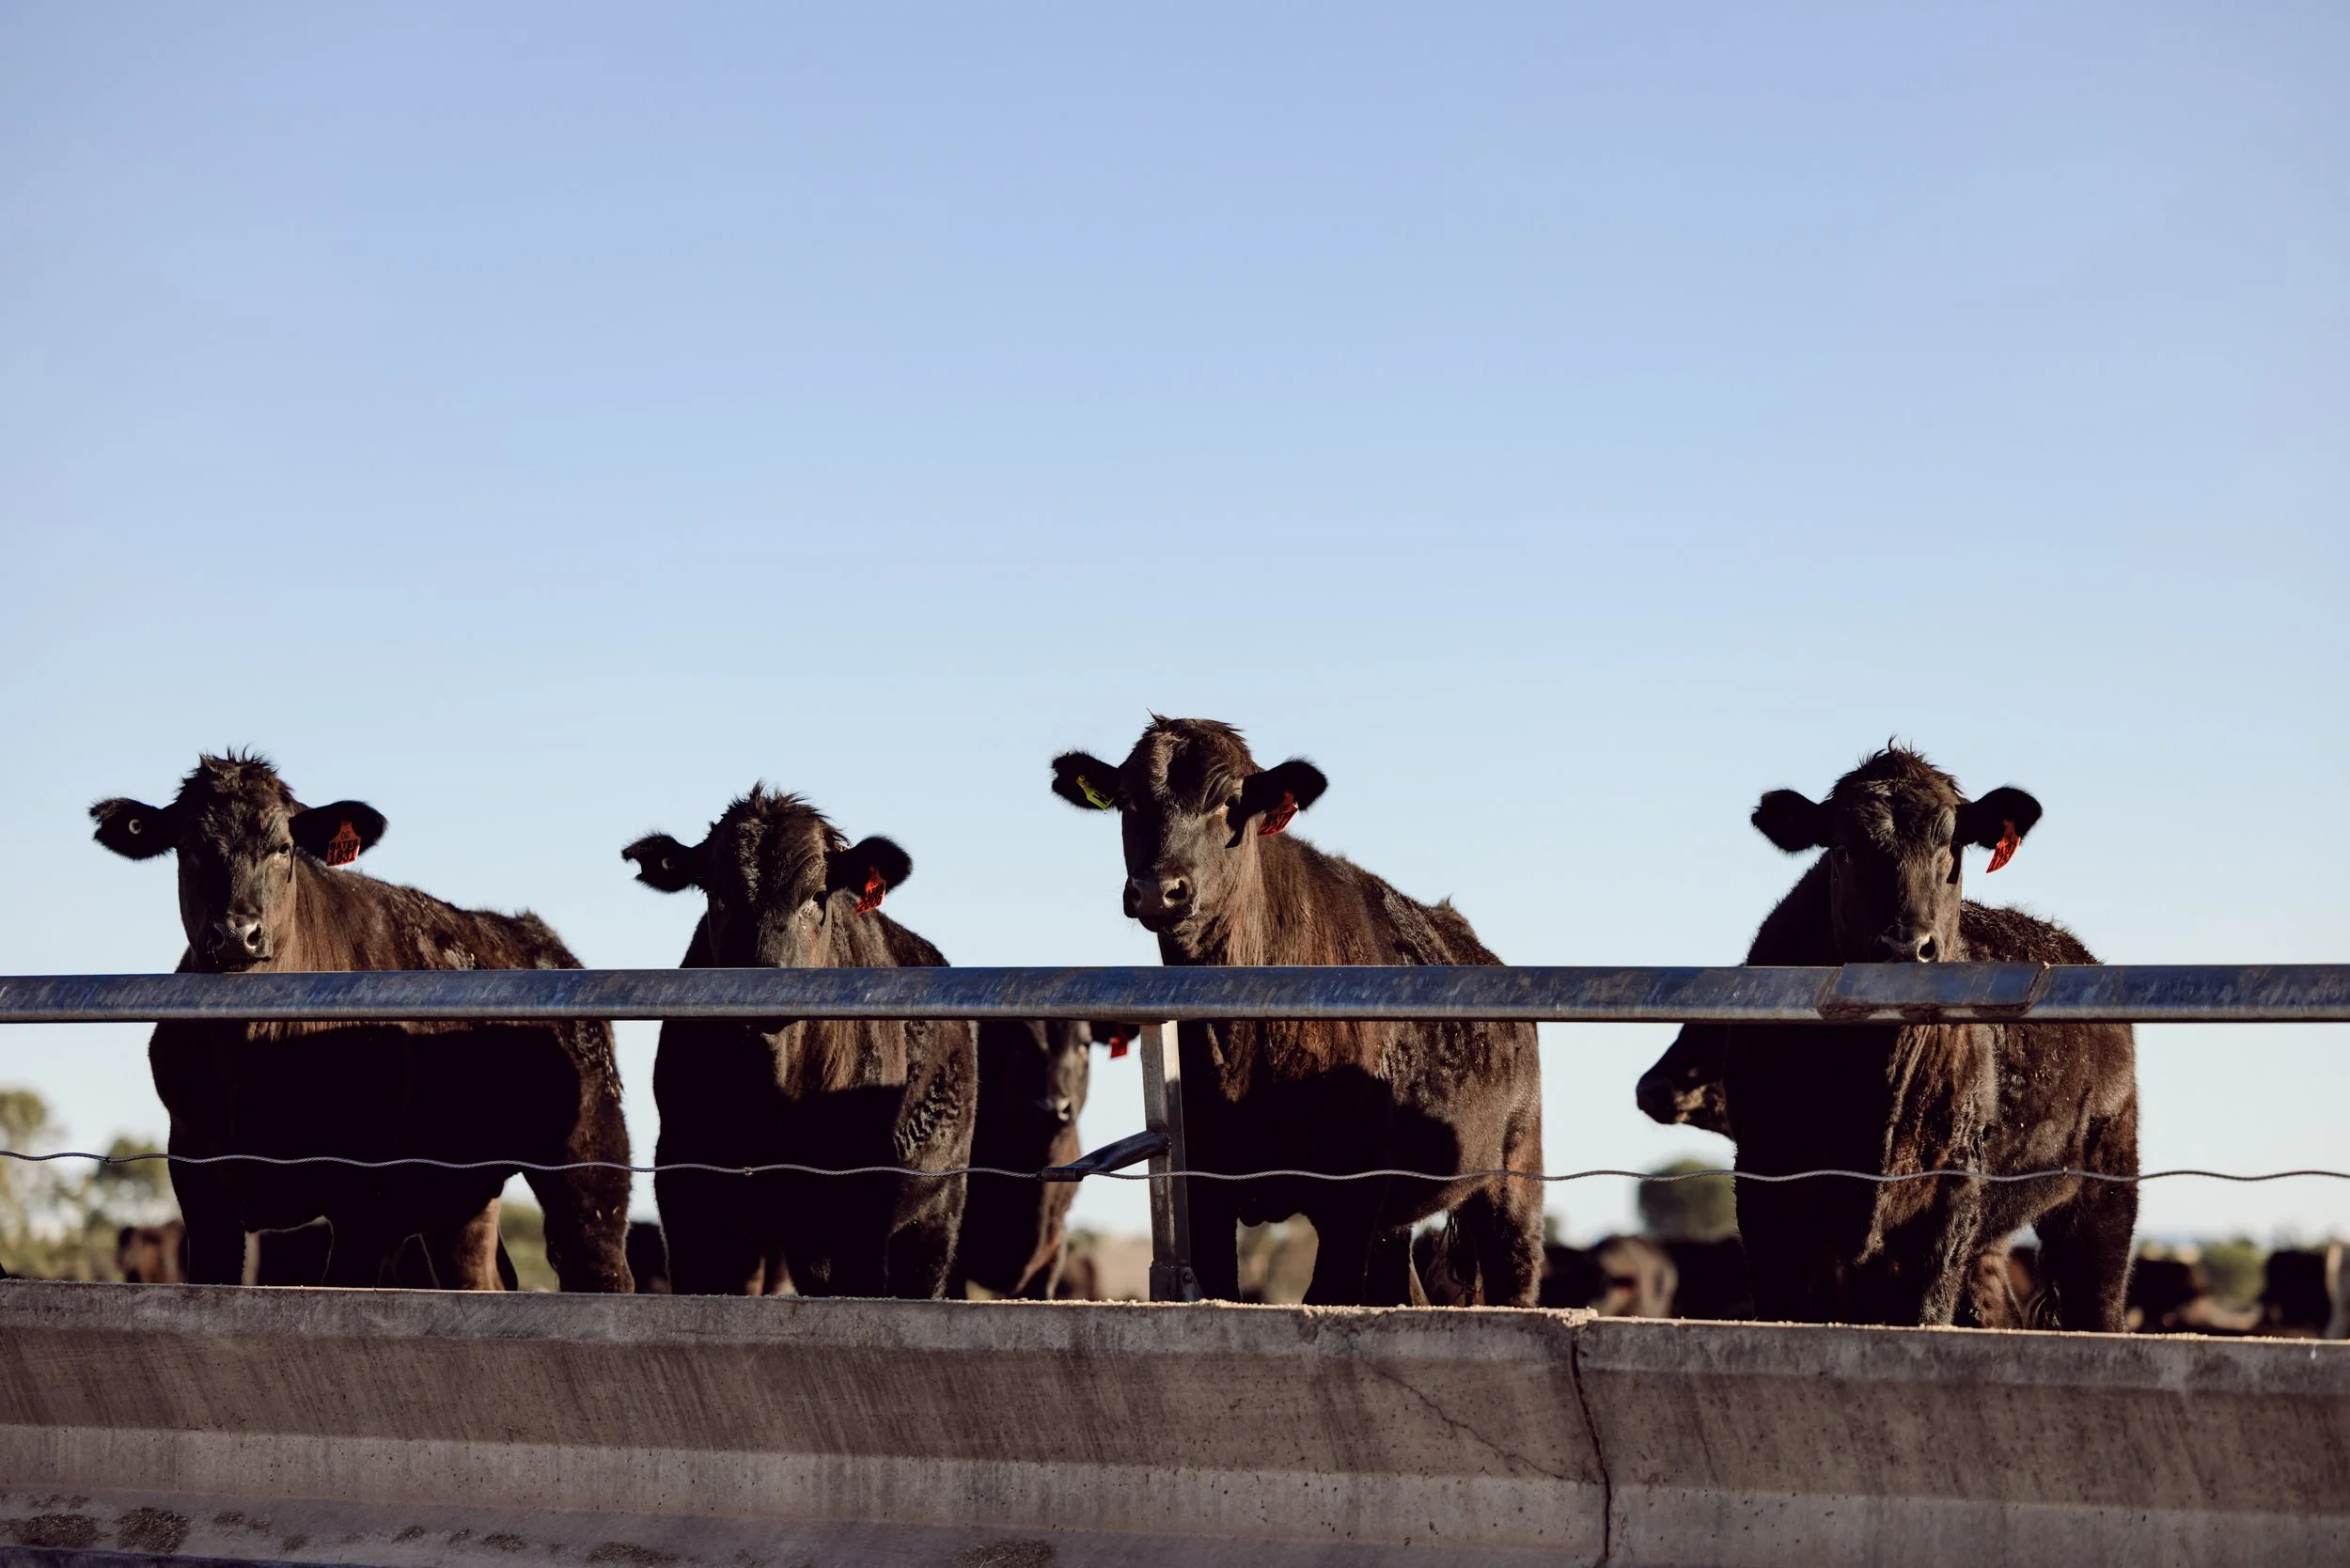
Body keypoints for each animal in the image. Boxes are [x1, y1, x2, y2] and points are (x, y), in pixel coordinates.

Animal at [91, 755, 632, 1291]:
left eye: (284, 848)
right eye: (188, 849)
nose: (237, 934)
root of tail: (539, 939)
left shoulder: (366, 1197)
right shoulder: (198, 1173)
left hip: (590, 1156)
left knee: (600, 1265)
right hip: (462, 1194)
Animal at [1050, 717, 1544, 1306]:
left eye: (1231, 800)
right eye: (1126, 799)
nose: (1158, 889)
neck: (1237, 1054)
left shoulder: (1352, 1196)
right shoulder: (1205, 1191)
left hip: (1515, 1174)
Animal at [1717, 747, 2139, 1330]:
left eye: (1952, 849)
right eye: (1843, 850)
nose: (1905, 946)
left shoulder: (1949, 1197)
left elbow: (1927, 1313)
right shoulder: (1765, 1188)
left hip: (2104, 1191)